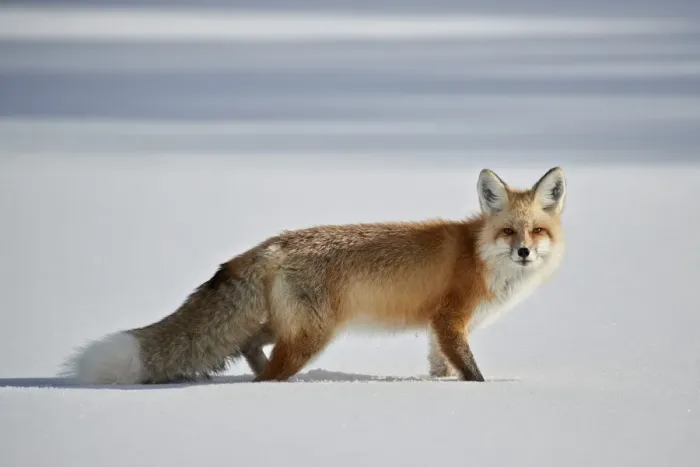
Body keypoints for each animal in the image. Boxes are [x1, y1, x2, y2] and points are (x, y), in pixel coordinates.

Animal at [61, 167, 566, 384]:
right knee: (265, 372)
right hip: (311, 335)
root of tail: (270, 244)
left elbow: (441, 369)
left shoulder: (436, 329)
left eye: (537, 231)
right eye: (508, 231)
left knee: (246, 343)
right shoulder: (448, 321)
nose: (524, 251)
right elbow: (472, 374)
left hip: (287, 325)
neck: (479, 254)